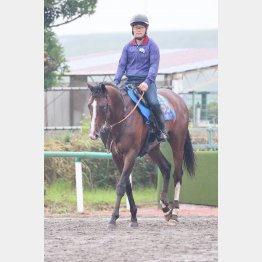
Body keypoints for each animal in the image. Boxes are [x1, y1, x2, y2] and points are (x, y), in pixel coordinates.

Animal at [87, 81, 194, 227]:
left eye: (103, 106)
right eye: (89, 106)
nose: (93, 134)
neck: (123, 116)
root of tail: (178, 99)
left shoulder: (131, 154)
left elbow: (121, 186)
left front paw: (113, 218)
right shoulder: (116, 156)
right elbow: (127, 185)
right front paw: (133, 217)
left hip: (178, 142)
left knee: (177, 175)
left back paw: (175, 212)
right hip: (153, 149)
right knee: (166, 168)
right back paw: (166, 209)